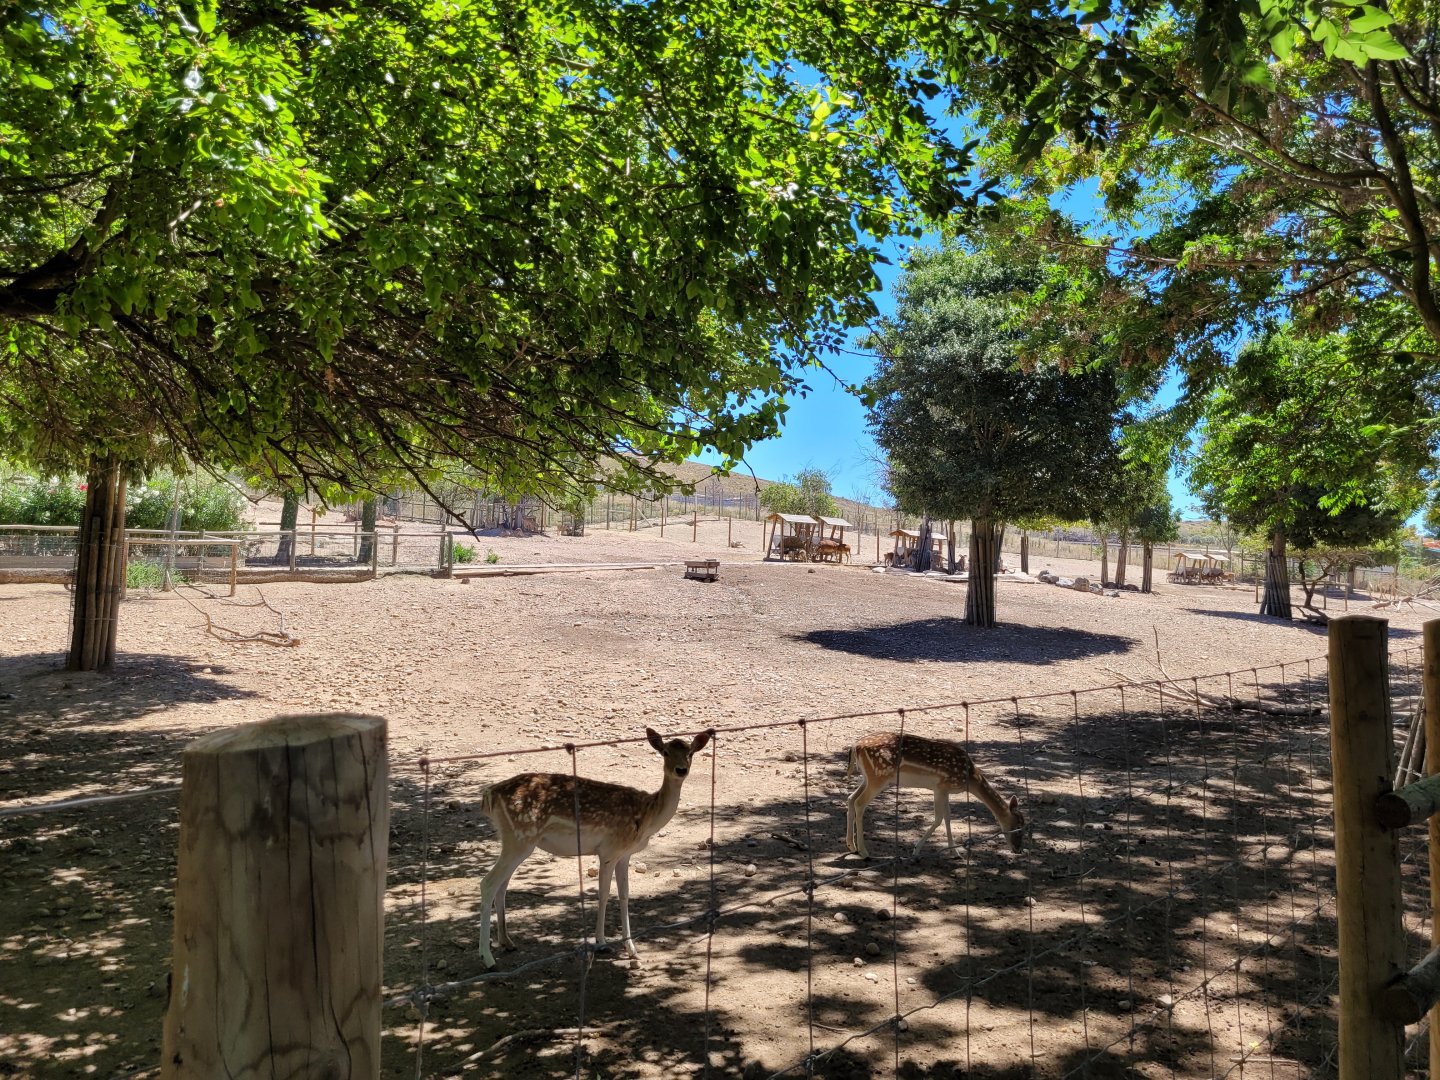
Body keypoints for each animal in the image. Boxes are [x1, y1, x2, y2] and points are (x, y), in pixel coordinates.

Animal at [475, 727, 712, 970]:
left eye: (690, 752)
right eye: (665, 752)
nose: (681, 770)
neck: (646, 818)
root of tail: (489, 795)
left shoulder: (624, 854)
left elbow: (625, 894)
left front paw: (632, 950)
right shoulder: (609, 851)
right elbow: (604, 893)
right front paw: (602, 943)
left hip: (515, 841)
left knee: (502, 885)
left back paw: (507, 941)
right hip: (520, 838)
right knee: (488, 883)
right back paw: (487, 958)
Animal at [845, 731, 1026, 858]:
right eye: (1017, 827)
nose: (1018, 849)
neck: (969, 778)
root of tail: (856, 747)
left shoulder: (944, 790)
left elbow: (947, 817)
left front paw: (955, 852)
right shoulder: (941, 787)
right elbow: (939, 818)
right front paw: (916, 850)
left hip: (868, 778)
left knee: (851, 798)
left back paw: (851, 846)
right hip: (879, 777)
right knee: (859, 803)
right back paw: (864, 851)